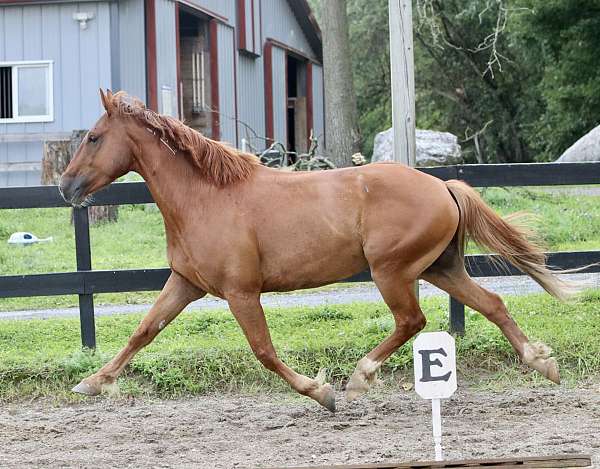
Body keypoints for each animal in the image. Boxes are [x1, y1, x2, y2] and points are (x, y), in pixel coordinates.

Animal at [61, 90, 572, 410]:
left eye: (93, 137)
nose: (66, 186)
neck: (206, 197)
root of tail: (443, 186)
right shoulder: (186, 283)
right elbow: (144, 331)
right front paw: (92, 382)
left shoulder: (241, 293)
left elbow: (264, 351)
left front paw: (321, 392)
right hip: (440, 269)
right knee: (492, 303)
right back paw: (543, 363)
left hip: (392, 271)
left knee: (412, 321)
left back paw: (359, 377)